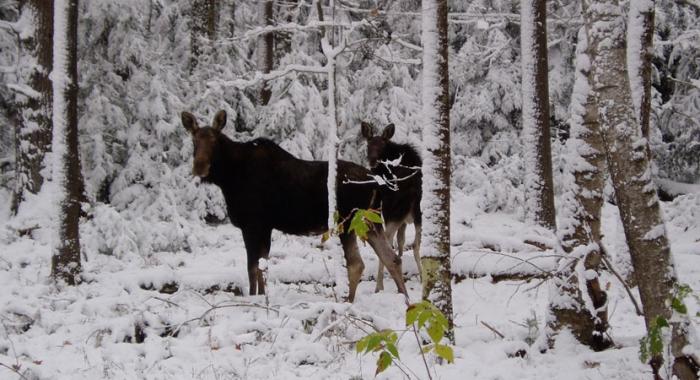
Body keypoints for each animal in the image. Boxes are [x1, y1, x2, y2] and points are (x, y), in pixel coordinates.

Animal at [183, 110, 408, 302]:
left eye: (214, 140)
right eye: (193, 140)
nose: (199, 166)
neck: (228, 178)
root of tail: (376, 183)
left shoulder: (254, 225)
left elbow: (253, 268)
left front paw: (255, 299)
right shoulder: (263, 227)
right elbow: (261, 266)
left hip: (348, 221)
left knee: (357, 264)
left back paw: (349, 302)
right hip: (370, 222)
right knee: (392, 258)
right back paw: (405, 300)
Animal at [360, 123, 422, 292]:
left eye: (382, 145)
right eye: (368, 144)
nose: (372, 160)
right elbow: (401, 242)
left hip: (394, 212)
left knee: (388, 242)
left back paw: (379, 286)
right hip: (414, 213)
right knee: (414, 244)